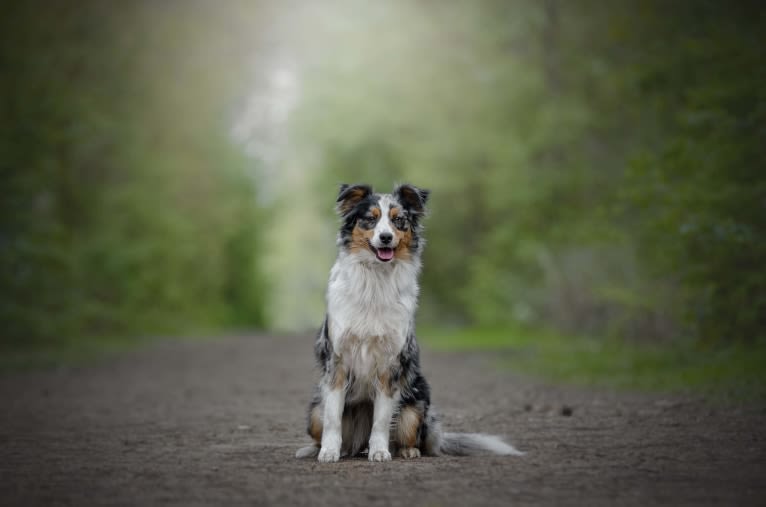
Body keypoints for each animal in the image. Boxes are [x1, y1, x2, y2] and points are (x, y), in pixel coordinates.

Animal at [294, 185, 520, 462]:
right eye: (370, 218)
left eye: (398, 220)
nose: (385, 237)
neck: (375, 280)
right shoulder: (337, 361)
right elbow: (333, 417)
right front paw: (328, 451)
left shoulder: (390, 365)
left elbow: (381, 419)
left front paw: (380, 452)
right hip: (314, 410)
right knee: (326, 424)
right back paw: (318, 449)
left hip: (415, 404)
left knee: (413, 438)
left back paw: (406, 450)